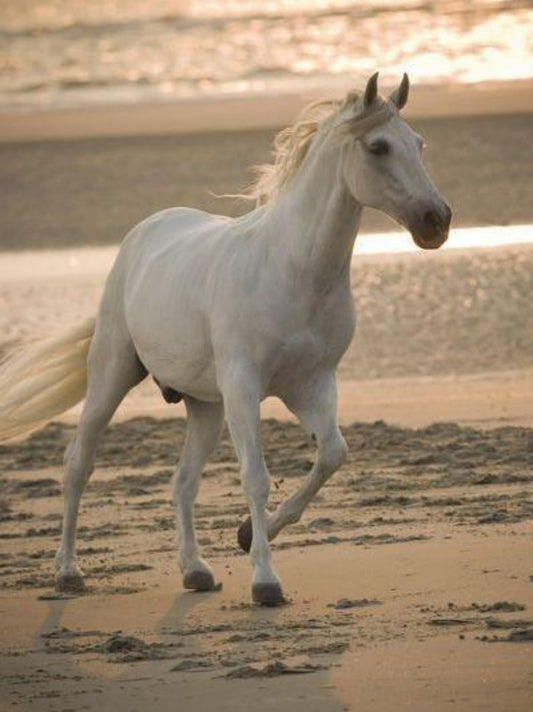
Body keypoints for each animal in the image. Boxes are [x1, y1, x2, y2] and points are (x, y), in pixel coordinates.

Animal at [0, 73, 451, 605]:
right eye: (378, 146)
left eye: (418, 143)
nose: (437, 221)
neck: (294, 269)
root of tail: (143, 233)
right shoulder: (244, 389)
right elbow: (255, 478)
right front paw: (265, 581)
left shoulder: (312, 386)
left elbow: (332, 455)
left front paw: (246, 535)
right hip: (112, 375)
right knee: (78, 464)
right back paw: (68, 572)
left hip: (204, 406)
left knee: (182, 481)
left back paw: (195, 571)